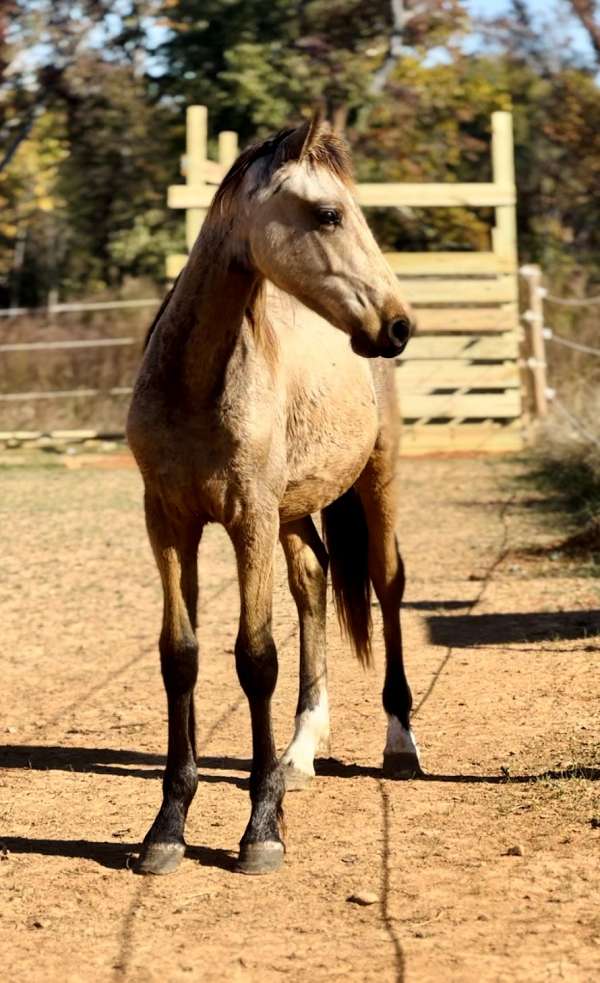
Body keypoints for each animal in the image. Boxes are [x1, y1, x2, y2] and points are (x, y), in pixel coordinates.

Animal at [125, 113, 422, 876]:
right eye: (328, 214)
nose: (398, 323)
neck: (196, 384)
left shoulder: (247, 518)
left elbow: (255, 657)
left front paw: (261, 827)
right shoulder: (168, 521)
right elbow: (180, 655)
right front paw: (167, 826)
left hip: (375, 482)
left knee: (387, 584)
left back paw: (399, 744)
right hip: (292, 513)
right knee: (313, 580)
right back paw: (299, 752)